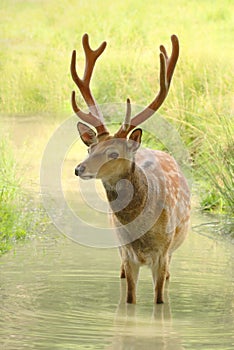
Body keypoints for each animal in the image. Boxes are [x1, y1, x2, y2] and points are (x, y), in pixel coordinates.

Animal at [71, 33, 190, 304]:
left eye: (114, 153)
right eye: (90, 149)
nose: (79, 169)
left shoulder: (162, 254)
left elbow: (159, 300)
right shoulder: (127, 254)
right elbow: (129, 300)